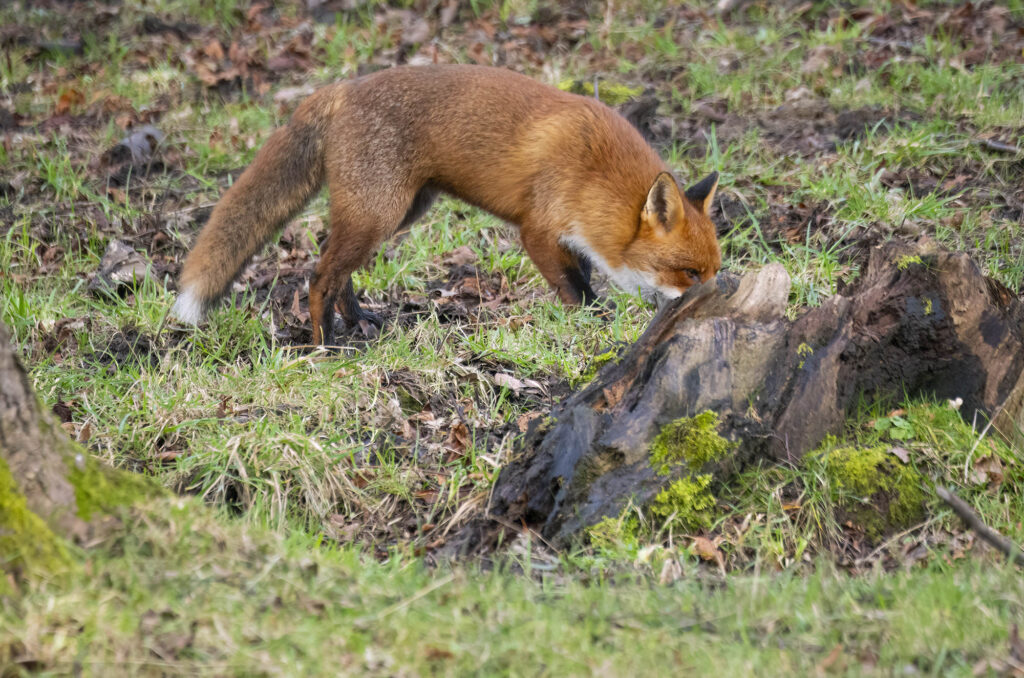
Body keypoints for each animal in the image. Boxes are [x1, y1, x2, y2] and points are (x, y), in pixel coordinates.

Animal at [172, 64, 722, 345]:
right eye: (690, 273)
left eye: (716, 271)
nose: (721, 305)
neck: (596, 174)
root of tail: (341, 87)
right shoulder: (537, 230)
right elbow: (578, 291)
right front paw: (597, 331)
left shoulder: (573, 238)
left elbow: (583, 277)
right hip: (379, 213)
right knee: (318, 274)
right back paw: (324, 344)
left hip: (396, 212)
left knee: (332, 260)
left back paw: (356, 320)